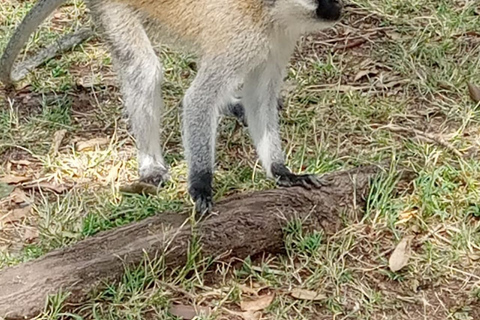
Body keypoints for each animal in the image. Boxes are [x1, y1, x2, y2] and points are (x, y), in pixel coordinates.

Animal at [2, 1, 342, 215]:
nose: (338, 7)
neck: (270, 13)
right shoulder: (242, 40)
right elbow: (197, 100)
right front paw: (201, 186)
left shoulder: (278, 40)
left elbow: (259, 99)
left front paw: (282, 171)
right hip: (111, 9)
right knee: (144, 70)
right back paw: (151, 166)